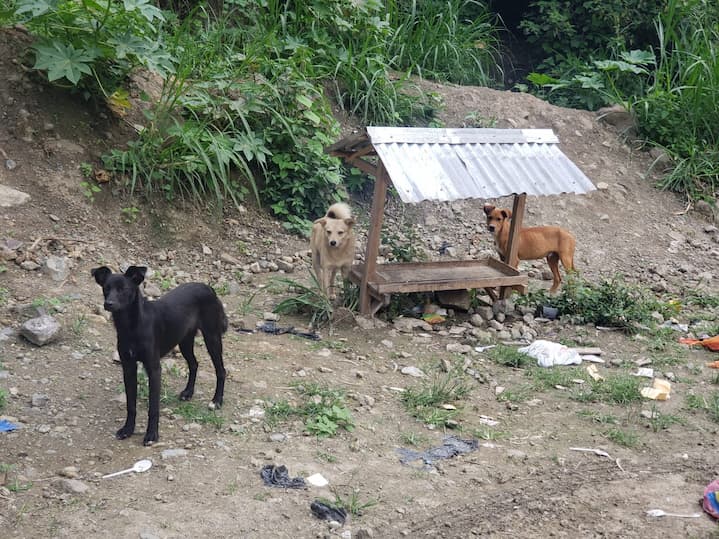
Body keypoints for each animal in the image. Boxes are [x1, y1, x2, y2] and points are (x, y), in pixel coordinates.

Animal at [92, 266, 228, 448]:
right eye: (106, 288)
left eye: (124, 289)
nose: (108, 304)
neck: (131, 326)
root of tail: (208, 287)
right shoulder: (128, 367)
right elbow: (131, 405)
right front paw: (128, 430)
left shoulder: (154, 369)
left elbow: (153, 407)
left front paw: (151, 435)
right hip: (184, 340)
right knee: (194, 364)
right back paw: (188, 392)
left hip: (212, 338)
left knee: (221, 370)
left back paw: (217, 401)